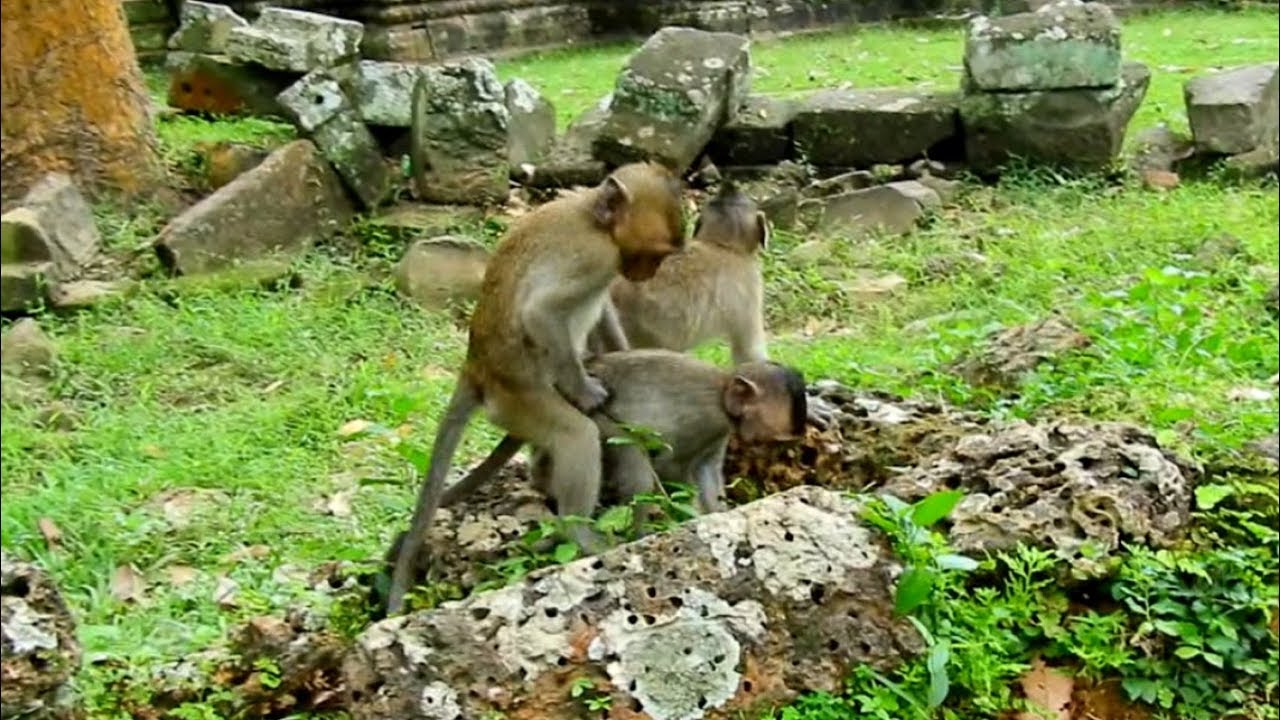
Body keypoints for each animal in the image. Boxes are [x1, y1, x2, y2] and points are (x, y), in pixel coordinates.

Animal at [385, 162, 686, 615]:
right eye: (654, 254)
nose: (646, 274)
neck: (593, 218)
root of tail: (478, 368)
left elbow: (602, 311)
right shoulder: (594, 257)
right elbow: (541, 312)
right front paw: (587, 393)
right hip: (520, 401)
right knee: (576, 434)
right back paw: (581, 534)